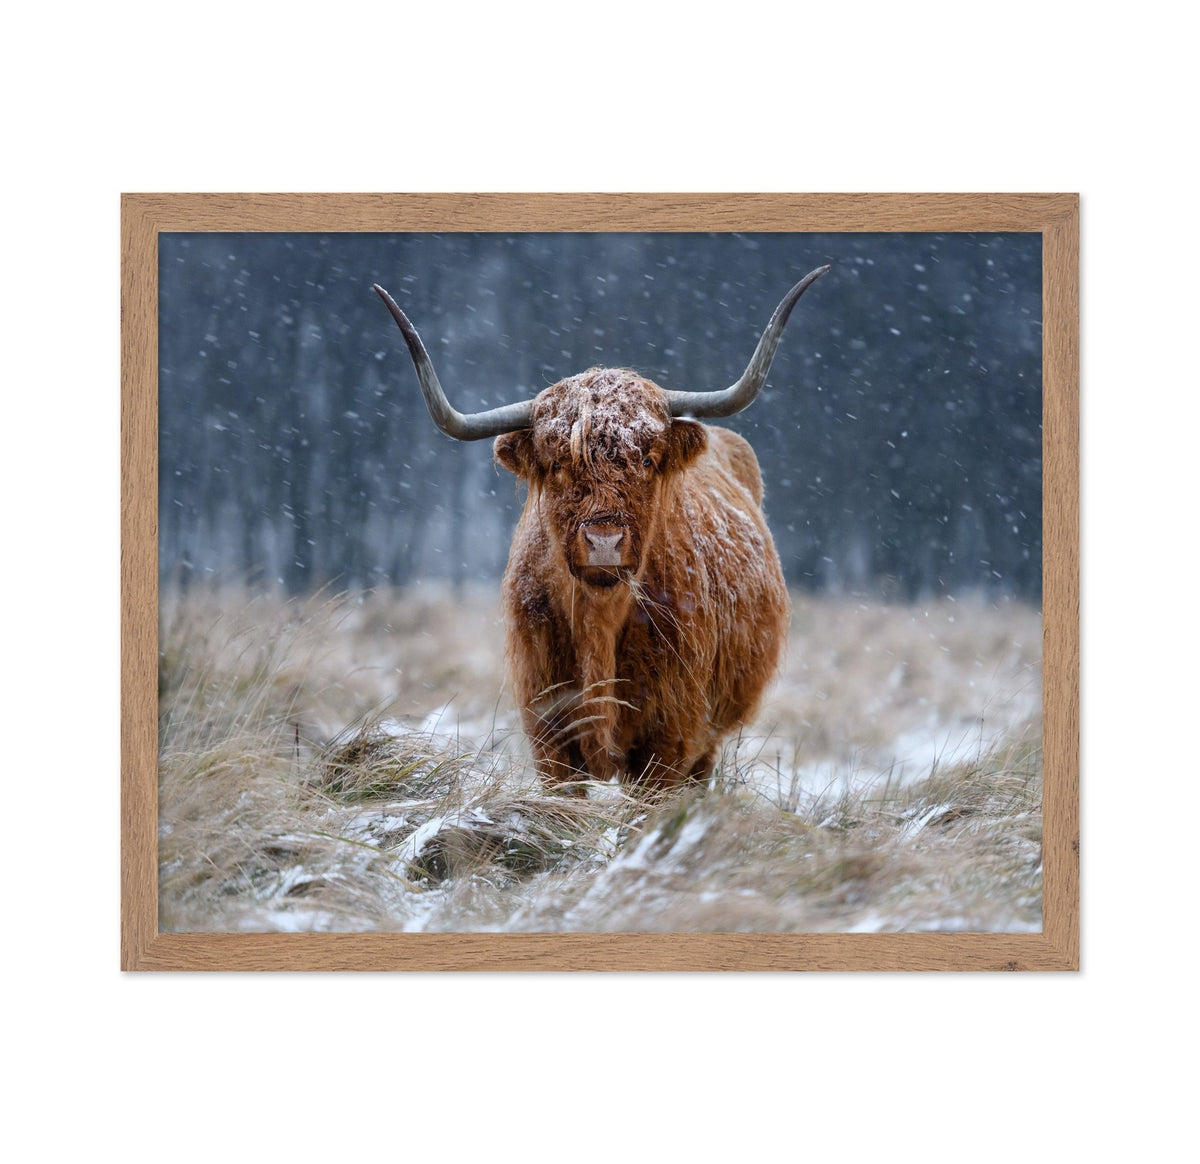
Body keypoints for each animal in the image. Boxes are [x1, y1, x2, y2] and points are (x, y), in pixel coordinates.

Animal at [374, 266, 829, 794]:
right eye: (557, 465)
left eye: (647, 460)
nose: (604, 542)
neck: (599, 623)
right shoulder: (548, 731)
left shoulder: (671, 738)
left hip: (709, 738)